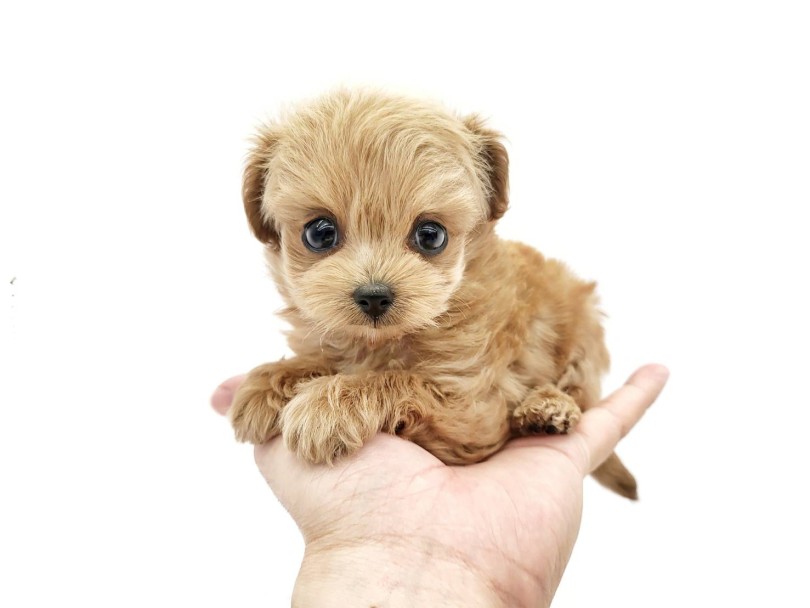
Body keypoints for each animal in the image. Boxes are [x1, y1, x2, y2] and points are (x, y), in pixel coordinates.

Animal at [229, 89, 637, 499]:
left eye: (431, 235)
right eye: (320, 233)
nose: (374, 296)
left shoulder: (474, 408)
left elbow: (401, 380)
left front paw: (330, 404)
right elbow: (325, 358)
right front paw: (271, 381)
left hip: (584, 331)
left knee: (580, 390)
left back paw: (549, 408)